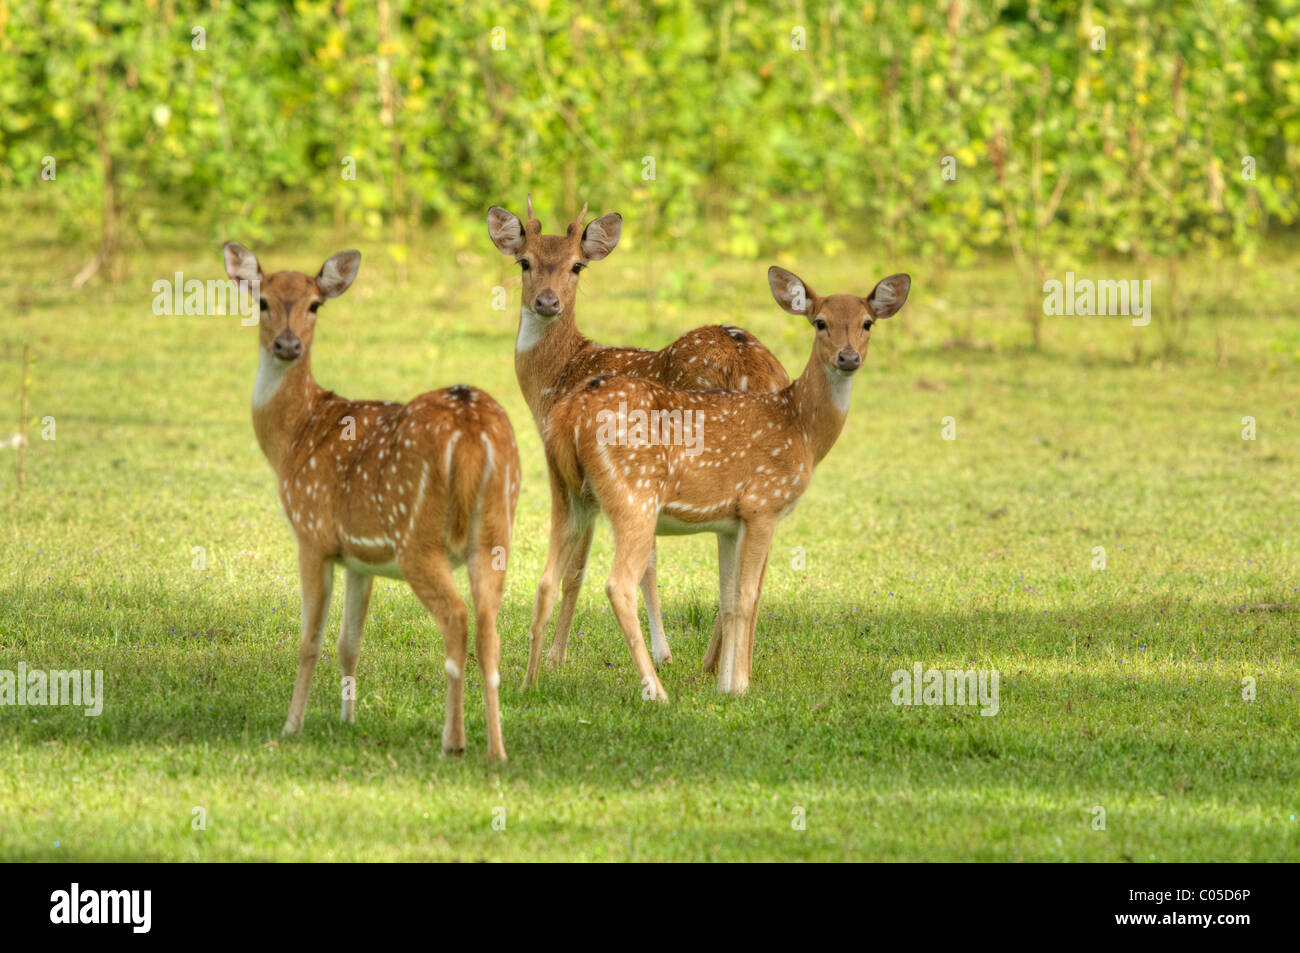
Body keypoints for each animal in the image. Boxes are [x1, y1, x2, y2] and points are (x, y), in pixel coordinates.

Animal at [226, 241, 520, 764]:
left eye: (314, 304)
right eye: (261, 301)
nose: (287, 345)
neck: (294, 437)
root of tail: (471, 431)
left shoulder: (313, 533)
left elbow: (310, 640)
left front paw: (291, 726)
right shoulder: (360, 558)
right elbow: (349, 642)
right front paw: (347, 720)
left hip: (417, 535)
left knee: (456, 617)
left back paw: (453, 740)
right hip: (498, 530)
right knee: (489, 628)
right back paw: (496, 750)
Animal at [488, 200, 785, 691]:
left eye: (577, 265)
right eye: (524, 261)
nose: (547, 301)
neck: (557, 376)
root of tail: (753, 368)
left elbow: (580, 571)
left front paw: (556, 658)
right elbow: (649, 560)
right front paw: (662, 653)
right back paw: (726, 664)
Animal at [533, 263, 909, 696]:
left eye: (867, 323)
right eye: (820, 322)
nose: (848, 357)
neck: (800, 427)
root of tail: (570, 412)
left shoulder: (730, 522)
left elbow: (728, 598)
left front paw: (725, 684)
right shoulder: (763, 503)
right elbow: (747, 595)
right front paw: (741, 685)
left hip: (566, 492)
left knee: (547, 577)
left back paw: (531, 681)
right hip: (634, 497)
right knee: (618, 584)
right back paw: (656, 691)